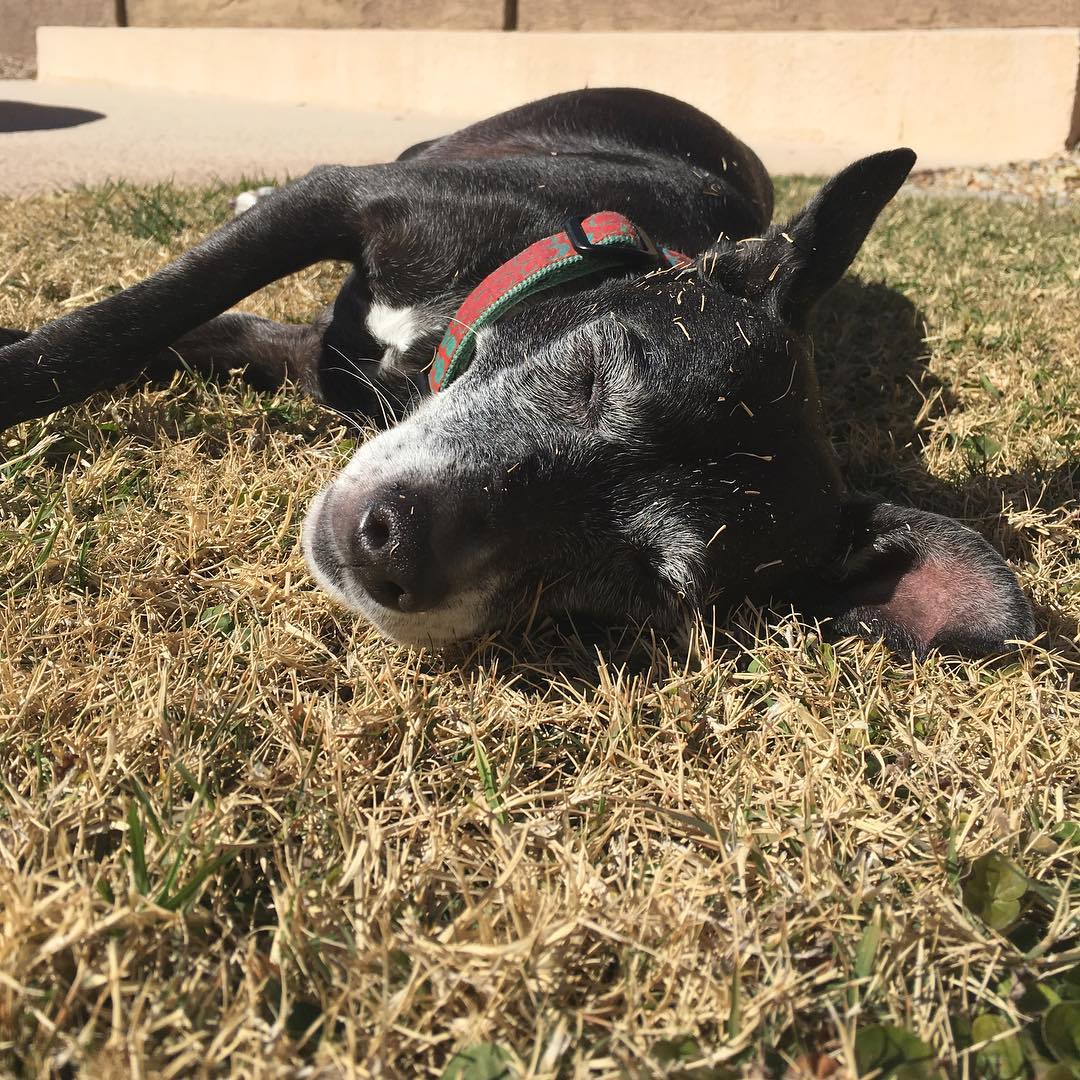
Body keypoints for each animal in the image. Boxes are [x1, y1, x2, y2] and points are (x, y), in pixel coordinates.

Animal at [0, 88, 1036, 652]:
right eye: (604, 368)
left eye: (645, 581)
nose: (392, 552)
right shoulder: (341, 201)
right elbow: (116, 326)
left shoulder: (315, 362)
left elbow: (177, 334)